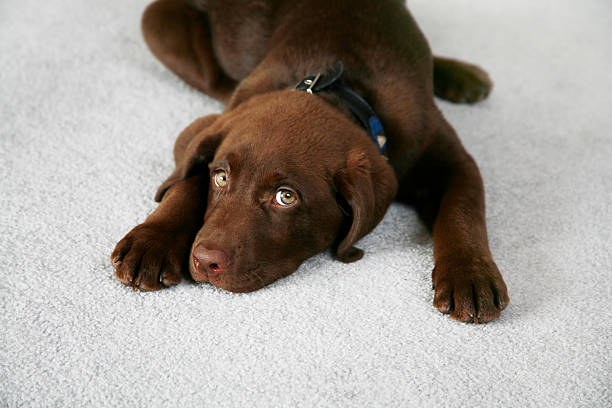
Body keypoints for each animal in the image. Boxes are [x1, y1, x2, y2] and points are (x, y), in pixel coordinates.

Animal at [109, 0, 506, 326]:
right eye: (220, 178)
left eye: (286, 197)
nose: (206, 261)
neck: (342, 91)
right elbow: (187, 178)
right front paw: (153, 240)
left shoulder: (449, 156)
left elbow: (463, 210)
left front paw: (470, 276)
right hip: (159, 23)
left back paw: (461, 75)